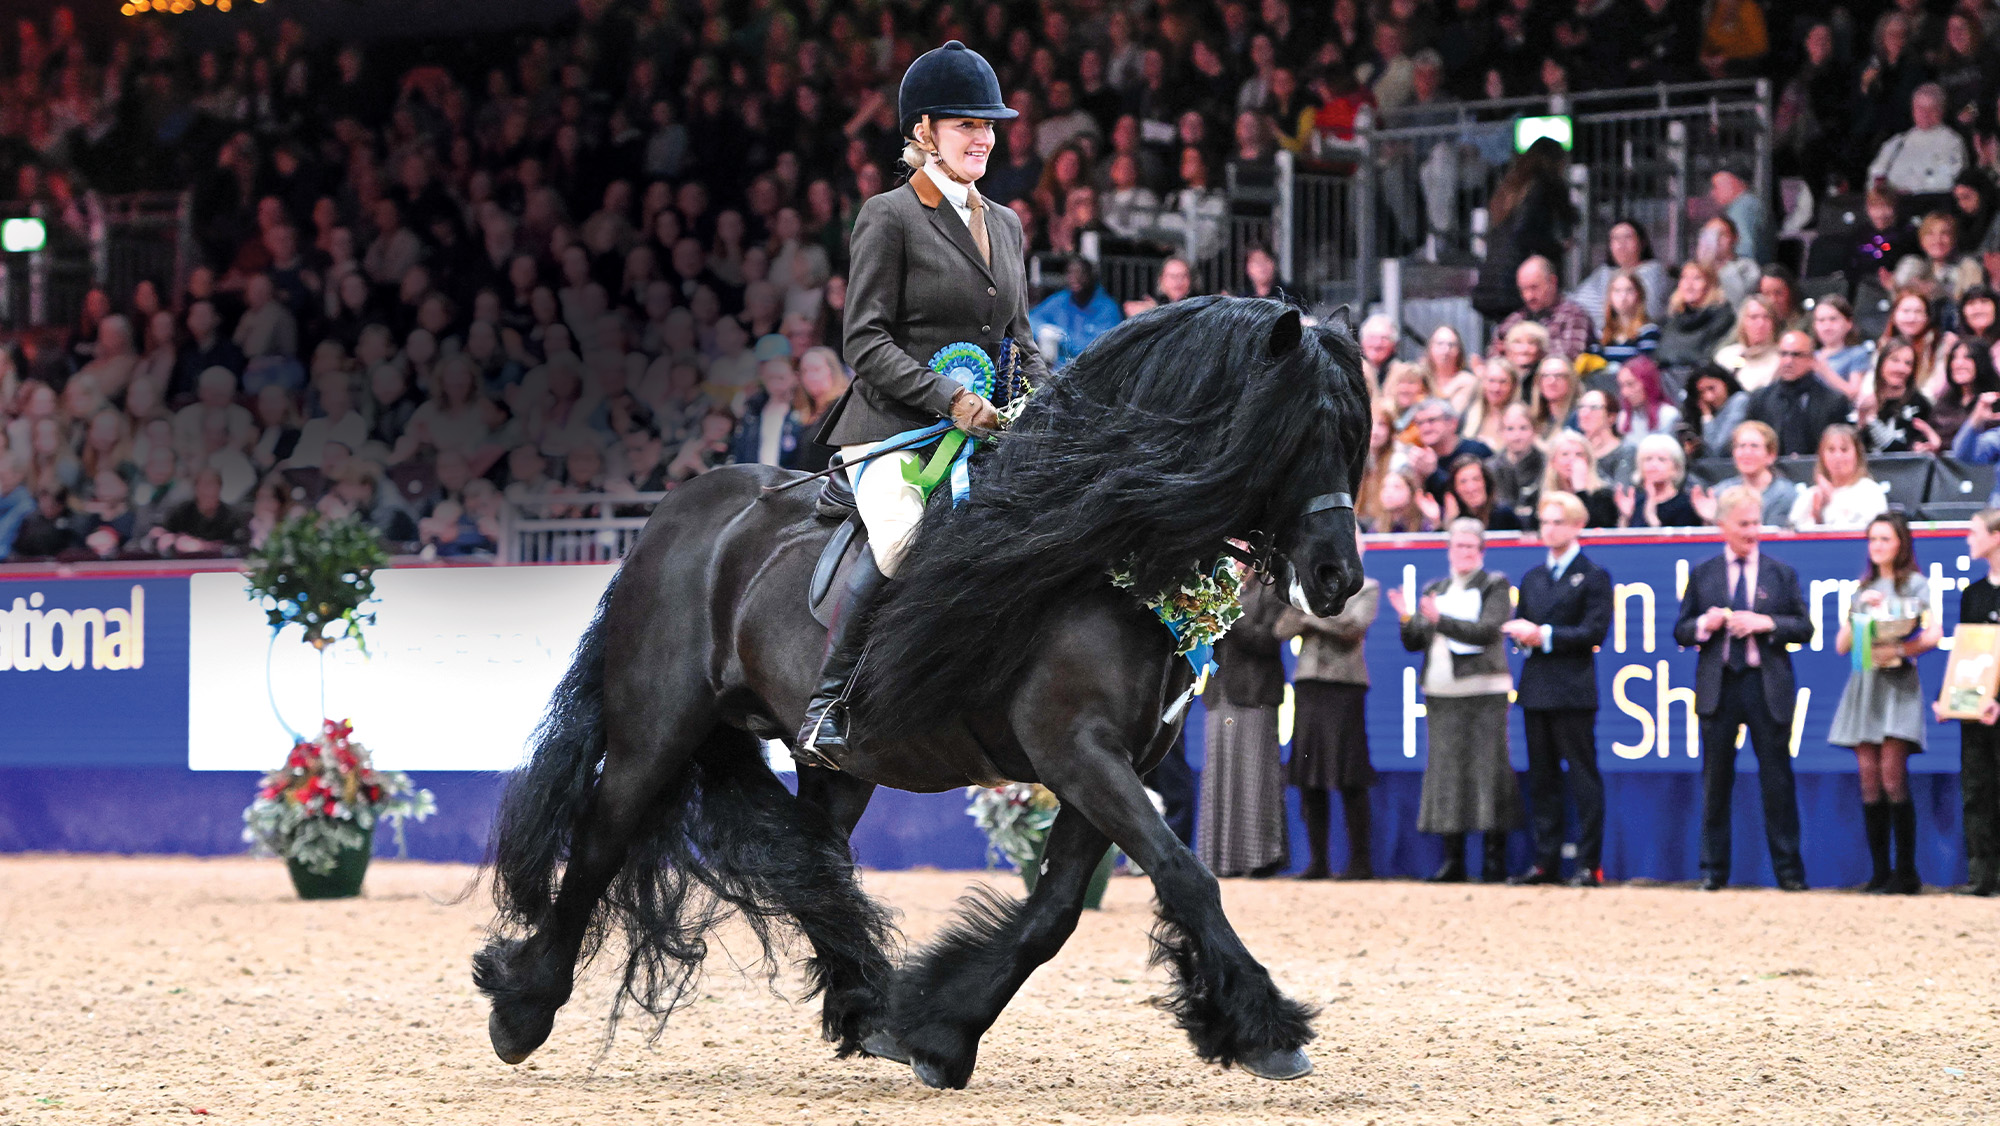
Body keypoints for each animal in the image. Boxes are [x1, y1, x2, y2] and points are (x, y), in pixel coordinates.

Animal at [473, 295, 1370, 1089]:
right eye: (1297, 435)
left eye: (1354, 437)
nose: (1340, 580)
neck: (1104, 545)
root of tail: (672, 517)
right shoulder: (1077, 749)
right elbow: (1185, 876)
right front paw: (1270, 1030)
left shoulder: (1113, 764)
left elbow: (1057, 911)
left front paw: (940, 1034)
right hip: (655, 729)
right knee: (601, 842)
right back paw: (521, 1012)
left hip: (833, 764)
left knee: (812, 864)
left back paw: (871, 1011)